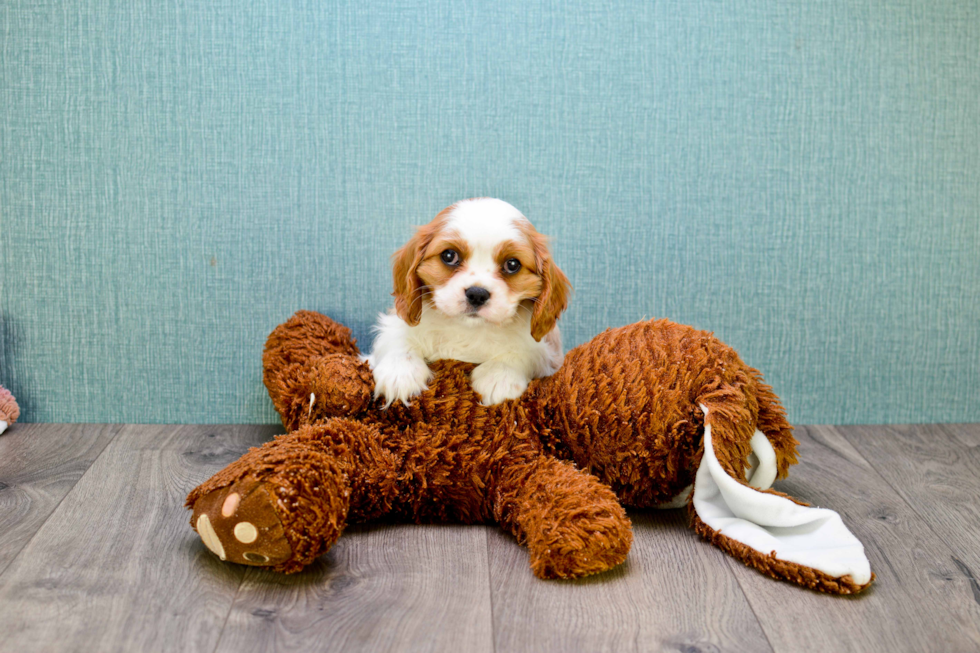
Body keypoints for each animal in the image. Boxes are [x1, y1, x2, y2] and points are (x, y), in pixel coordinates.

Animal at [368, 196, 572, 404]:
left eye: (512, 264)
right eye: (449, 255)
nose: (477, 294)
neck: (467, 329)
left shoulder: (548, 354)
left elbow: (526, 351)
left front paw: (499, 376)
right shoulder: (393, 327)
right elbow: (398, 337)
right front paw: (399, 372)